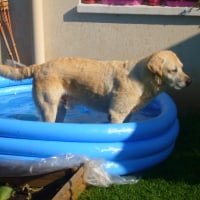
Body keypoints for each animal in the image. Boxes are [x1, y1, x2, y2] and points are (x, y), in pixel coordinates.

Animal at [0, 50, 191, 122]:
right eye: (173, 70)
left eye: (182, 68)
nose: (189, 82)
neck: (141, 78)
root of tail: (39, 66)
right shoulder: (116, 113)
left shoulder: (127, 114)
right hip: (48, 107)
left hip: (59, 108)